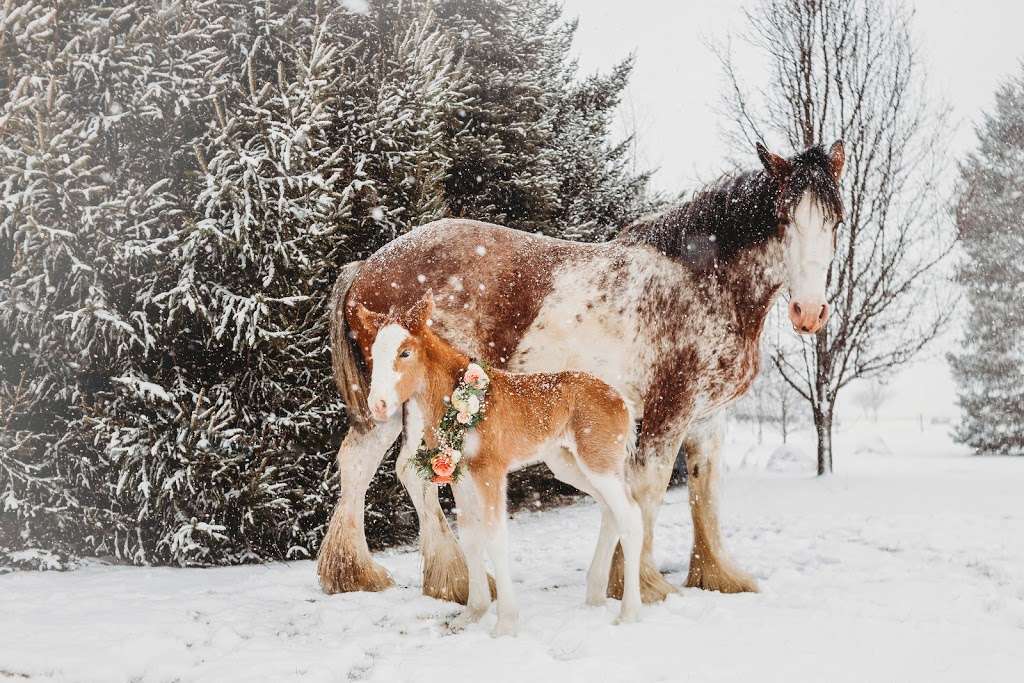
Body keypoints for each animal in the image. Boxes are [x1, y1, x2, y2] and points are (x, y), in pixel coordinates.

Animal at [352, 294, 638, 634]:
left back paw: (629, 613)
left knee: (630, 515)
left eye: (405, 352)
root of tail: (622, 399)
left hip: (598, 462)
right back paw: (595, 597)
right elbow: (470, 536)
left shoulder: (490, 472)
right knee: (611, 511)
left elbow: (494, 535)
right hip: (569, 465)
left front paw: (505, 624)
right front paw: (472, 613)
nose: (378, 406)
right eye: (373, 354)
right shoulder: (459, 475)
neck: (456, 401)